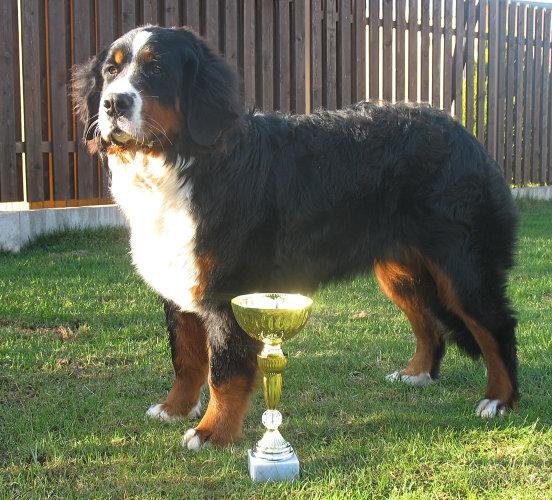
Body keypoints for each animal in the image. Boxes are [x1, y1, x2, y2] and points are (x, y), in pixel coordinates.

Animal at [73, 25, 519, 450]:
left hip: (463, 267)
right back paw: (418, 373)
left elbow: (224, 372)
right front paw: (174, 409)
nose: (113, 103)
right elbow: (185, 358)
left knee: (495, 325)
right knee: (428, 324)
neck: (183, 163)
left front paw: (212, 432)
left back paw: (499, 398)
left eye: (157, 70)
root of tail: (465, 133)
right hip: (401, 272)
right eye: (110, 71)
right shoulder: (180, 283)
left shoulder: (227, 292)